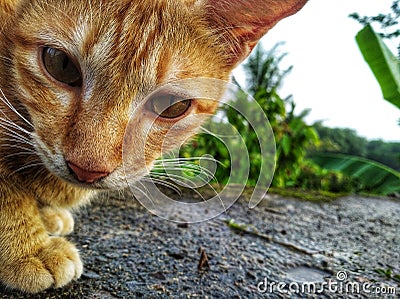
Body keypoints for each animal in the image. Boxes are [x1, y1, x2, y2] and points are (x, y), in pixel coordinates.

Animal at [0, 0, 306, 296]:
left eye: (171, 106)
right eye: (60, 63)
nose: (87, 170)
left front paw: (45, 218)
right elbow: (6, 189)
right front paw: (29, 247)